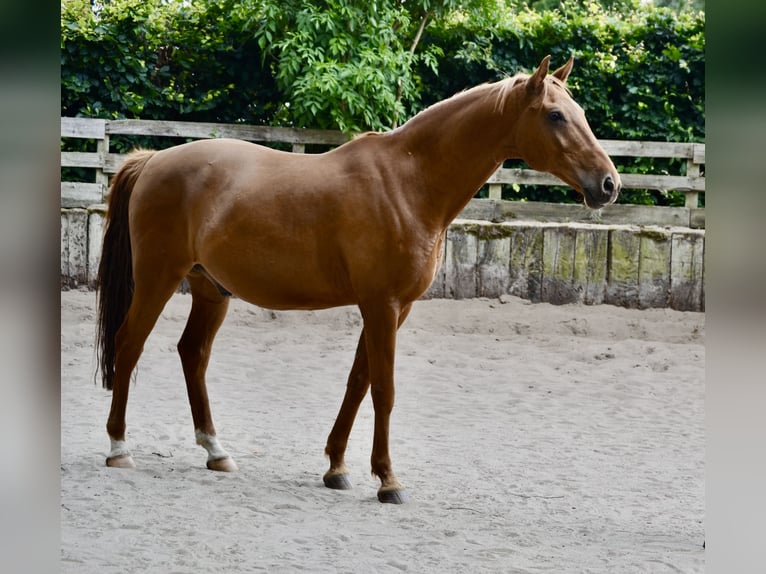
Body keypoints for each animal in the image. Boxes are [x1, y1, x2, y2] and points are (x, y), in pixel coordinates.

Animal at [97, 57, 624, 504]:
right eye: (555, 116)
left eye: (579, 113)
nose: (609, 184)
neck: (408, 183)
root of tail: (153, 160)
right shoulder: (381, 304)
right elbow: (384, 390)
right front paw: (388, 480)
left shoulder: (394, 308)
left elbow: (358, 381)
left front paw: (337, 468)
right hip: (158, 279)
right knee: (129, 343)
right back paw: (119, 448)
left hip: (211, 290)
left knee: (193, 354)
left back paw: (216, 451)